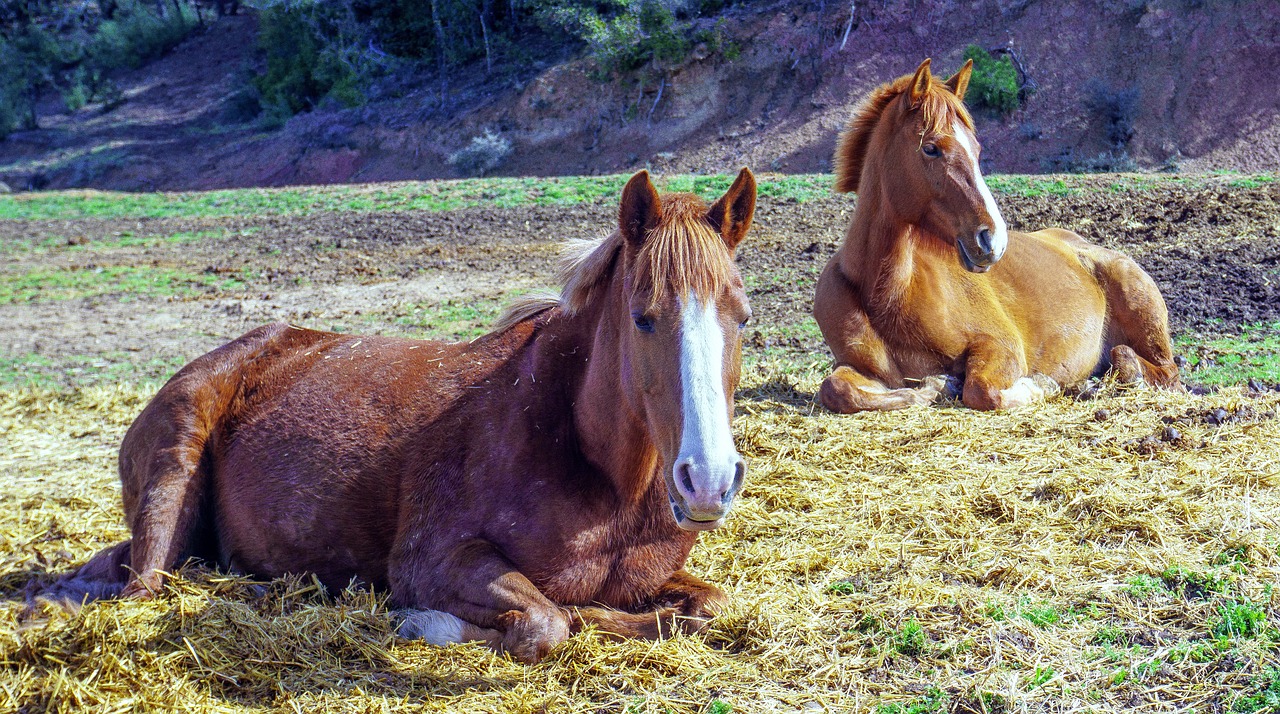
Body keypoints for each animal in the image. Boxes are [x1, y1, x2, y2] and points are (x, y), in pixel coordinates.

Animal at [47, 167, 757, 665]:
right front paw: (422, 620)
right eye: (643, 317)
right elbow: (552, 620)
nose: (709, 482)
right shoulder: (432, 561)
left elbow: (708, 607)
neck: (598, 470)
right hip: (173, 475)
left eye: (743, 317)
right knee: (144, 586)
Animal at [814, 60, 1182, 414]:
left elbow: (982, 391)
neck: (887, 292)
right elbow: (836, 388)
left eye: (976, 149)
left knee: (1154, 368)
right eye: (931, 148)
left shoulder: (1000, 346)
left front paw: (1039, 386)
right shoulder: (866, 370)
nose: (993, 240)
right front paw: (935, 386)